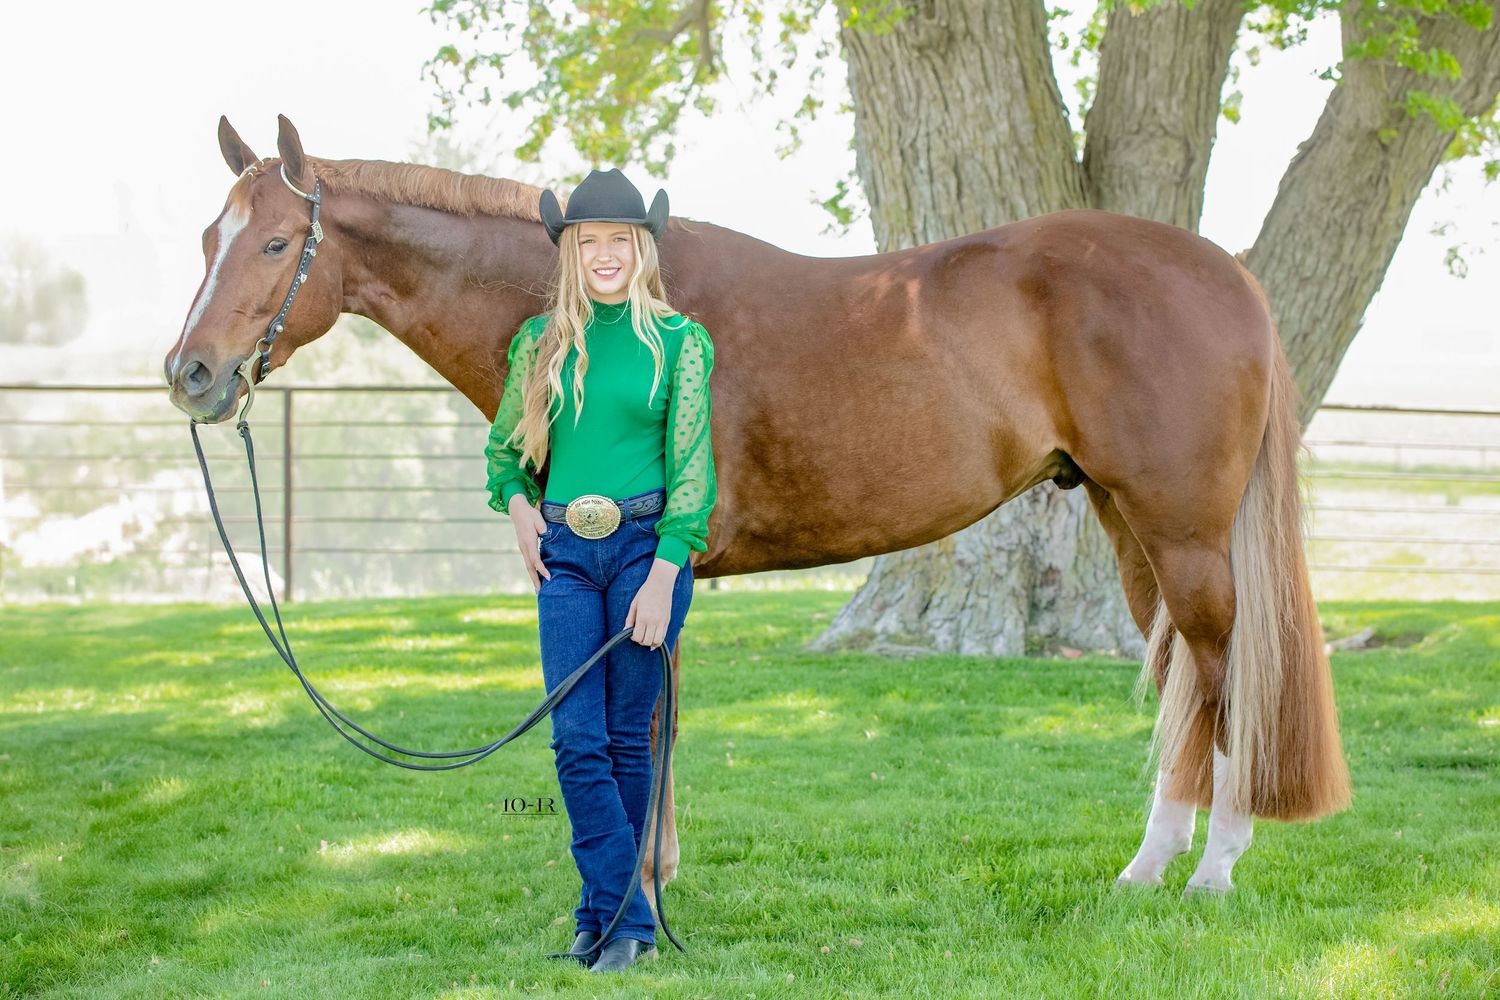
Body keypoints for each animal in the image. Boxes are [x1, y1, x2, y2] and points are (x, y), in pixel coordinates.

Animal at [164, 114, 1350, 902]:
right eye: (206, 240)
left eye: (276, 243)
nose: (189, 374)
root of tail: (1228, 277)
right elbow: (657, 721)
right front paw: (655, 879)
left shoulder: (656, 566)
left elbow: (644, 719)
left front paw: (636, 896)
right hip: (1126, 519)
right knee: (1187, 679)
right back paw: (1147, 870)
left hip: (1182, 528)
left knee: (1223, 669)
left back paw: (1213, 873)